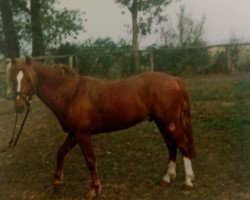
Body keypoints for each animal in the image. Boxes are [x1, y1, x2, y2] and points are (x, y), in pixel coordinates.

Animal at [8, 57, 195, 199]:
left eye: (28, 79)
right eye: (13, 79)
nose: (18, 106)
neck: (70, 94)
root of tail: (174, 79)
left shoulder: (83, 134)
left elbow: (90, 160)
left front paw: (94, 189)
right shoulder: (74, 134)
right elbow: (61, 152)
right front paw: (57, 183)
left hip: (170, 123)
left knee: (183, 146)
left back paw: (188, 182)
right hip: (162, 123)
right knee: (172, 146)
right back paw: (167, 178)